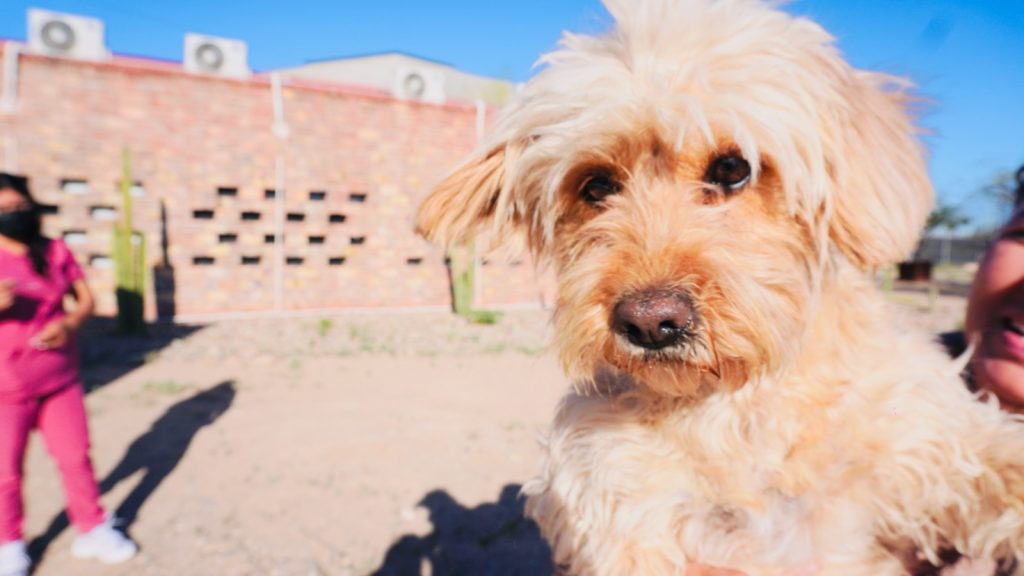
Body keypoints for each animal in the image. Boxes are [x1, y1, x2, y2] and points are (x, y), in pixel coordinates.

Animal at [416, 1, 1024, 574]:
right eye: (595, 185)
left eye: (733, 169)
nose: (649, 321)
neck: (737, 408)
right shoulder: (612, 489)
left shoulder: (930, 436)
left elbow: (1002, 462)